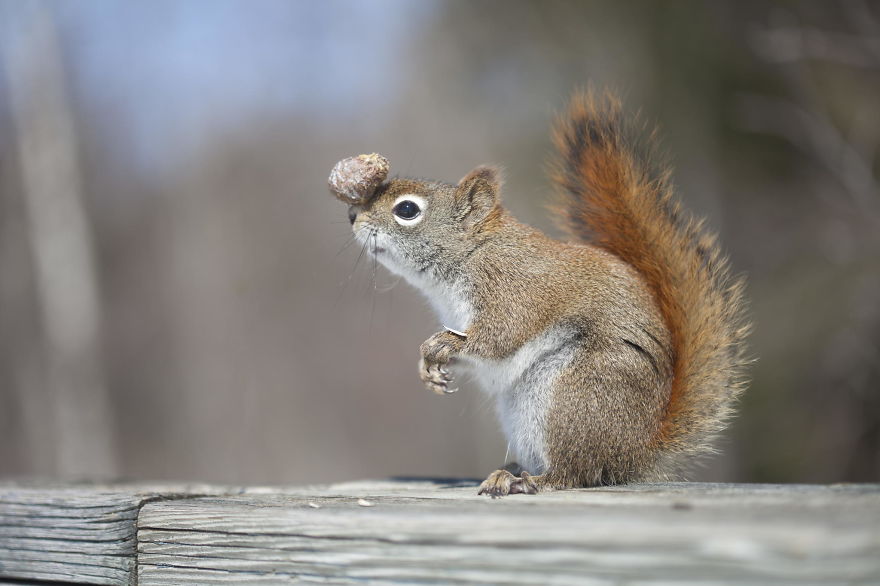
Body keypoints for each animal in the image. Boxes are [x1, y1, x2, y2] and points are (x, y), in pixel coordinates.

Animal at [329, 90, 750, 496]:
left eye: (407, 210)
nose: (352, 217)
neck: (471, 253)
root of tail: (635, 453)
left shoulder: (516, 290)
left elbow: (499, 336)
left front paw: (438, 346)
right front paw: (428, 368)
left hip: (574, 395)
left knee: (575, 473)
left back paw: (531, 480)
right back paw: (512, 471)